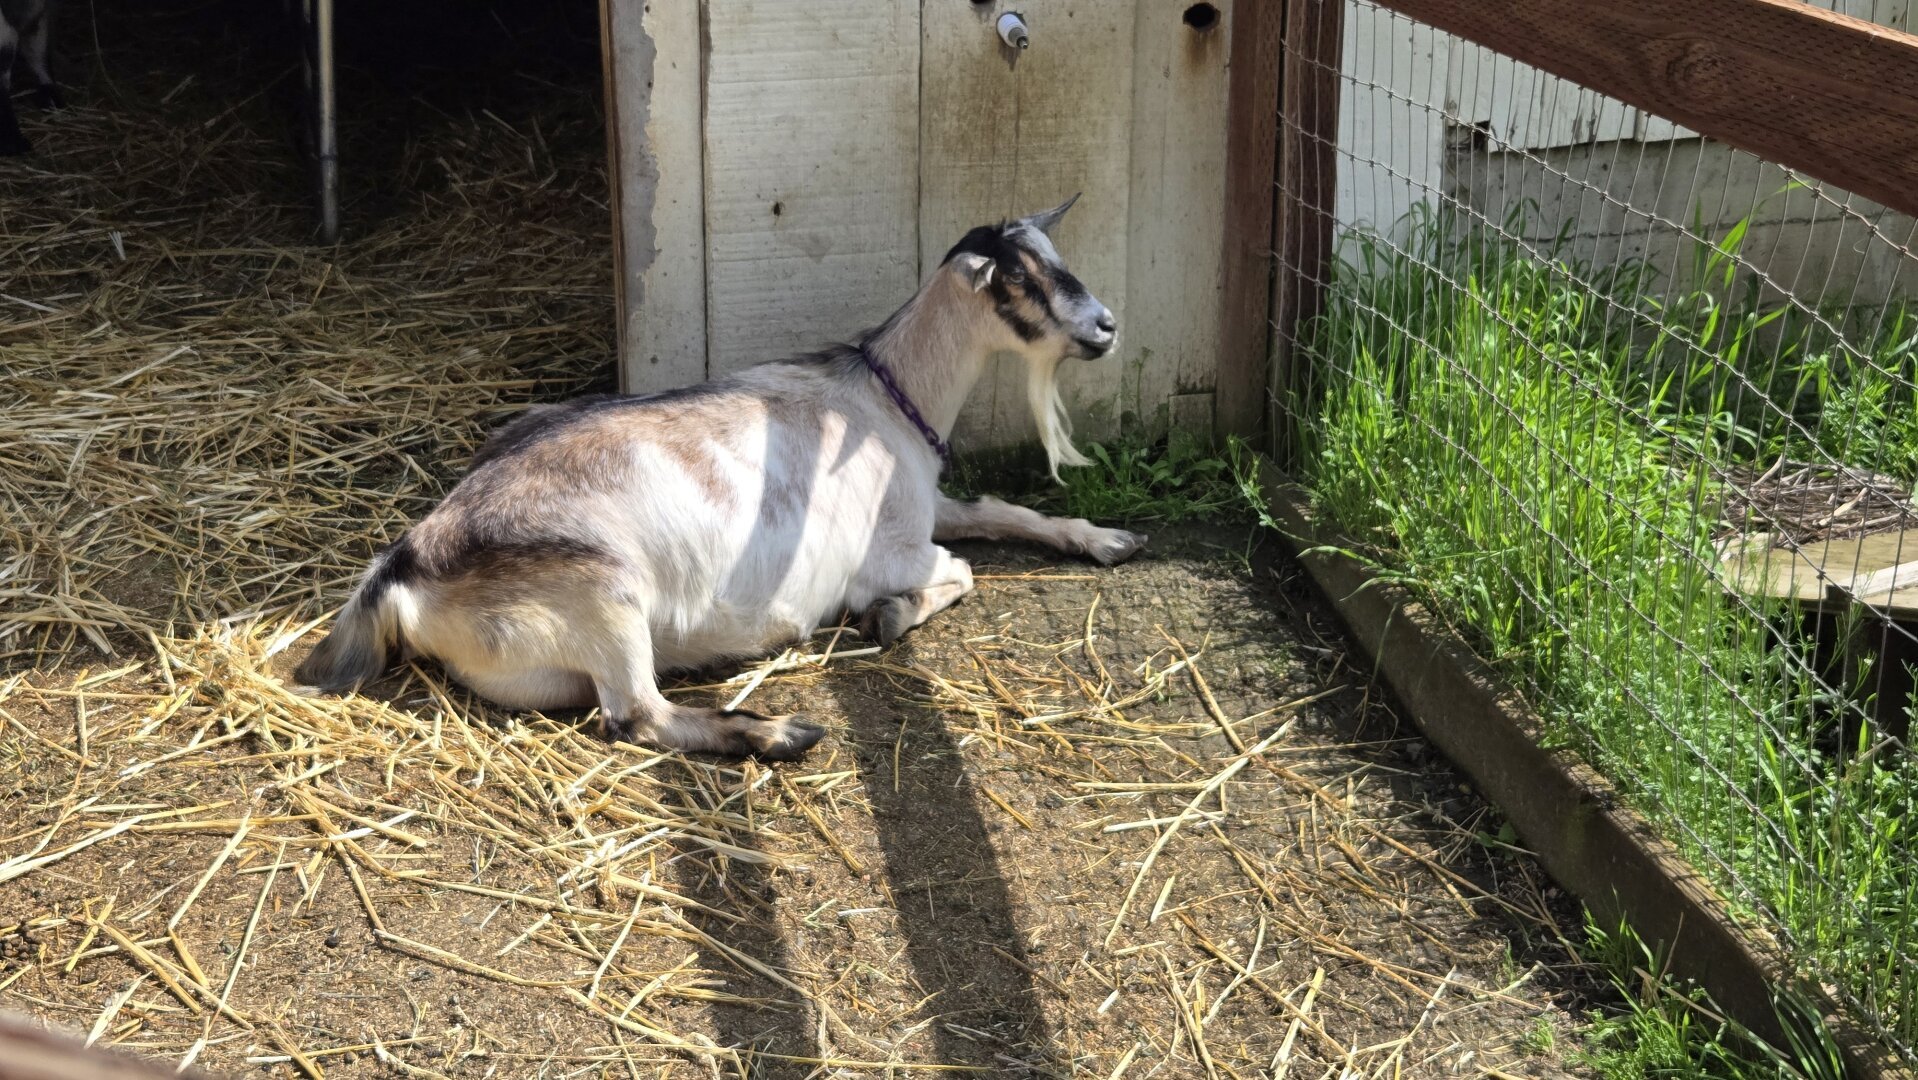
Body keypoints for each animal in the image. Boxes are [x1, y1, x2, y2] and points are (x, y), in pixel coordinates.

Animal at [295, 196, 1144, 759]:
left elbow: (1003, 509)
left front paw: (1109, 539)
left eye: (1057, 260)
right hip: (604, 594)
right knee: (636, 715)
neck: (883, 396)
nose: (1106, 326)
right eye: (1017, 280)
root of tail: (407, 560)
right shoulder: (894, 550)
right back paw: (781, 731)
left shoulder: (926, 503)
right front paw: (890, 616)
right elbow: (958, 570)